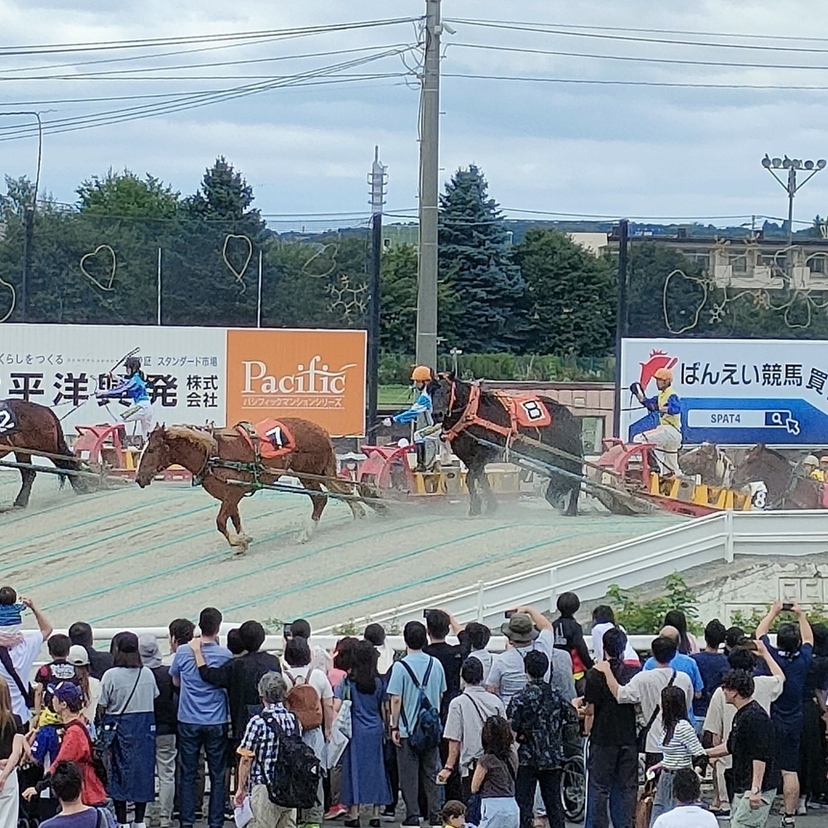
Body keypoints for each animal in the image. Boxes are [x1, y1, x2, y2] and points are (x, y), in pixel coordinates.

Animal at [137, 424, 378, 552]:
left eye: (151, 450)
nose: (139, 478)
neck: (213, 454)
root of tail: (322, 431)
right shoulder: (230, 496)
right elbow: (234, 519)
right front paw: (243, 539)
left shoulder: (232, 493)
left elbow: (220, 522)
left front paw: (238, 542)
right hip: (319, 471)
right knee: (342, 492)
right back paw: (358, 512)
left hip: (308, 473)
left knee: (321, 499)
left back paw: (306, 533)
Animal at [430, 376, 584, 516]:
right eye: (430, 392)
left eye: (448, 391)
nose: (437, 414)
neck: (471, 413)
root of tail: (571, 416)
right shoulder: (469, 458)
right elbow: (481, 479)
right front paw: (489, 505)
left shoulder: (486, 453)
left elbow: (471, 478)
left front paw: (476, 506)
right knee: (562, 476)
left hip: (566, 453)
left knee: (575, 476)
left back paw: (570, 508)